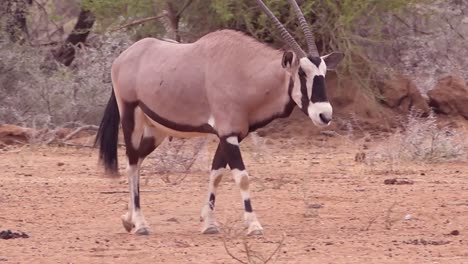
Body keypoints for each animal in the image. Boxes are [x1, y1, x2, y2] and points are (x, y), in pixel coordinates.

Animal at [96, 0, 344, 235]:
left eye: (323, 73)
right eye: (302, 73)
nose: (324, 115)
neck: (245, 71)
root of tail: (122, 58)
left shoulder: (234, 135)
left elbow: (216, 173)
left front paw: (209, 223)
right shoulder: (228, 134)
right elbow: (242, 176)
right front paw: (253, 225)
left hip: (155, 131)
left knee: (137, 160)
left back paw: (128, 219)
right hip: (130, 118)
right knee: (132, 164)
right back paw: (140, 223)